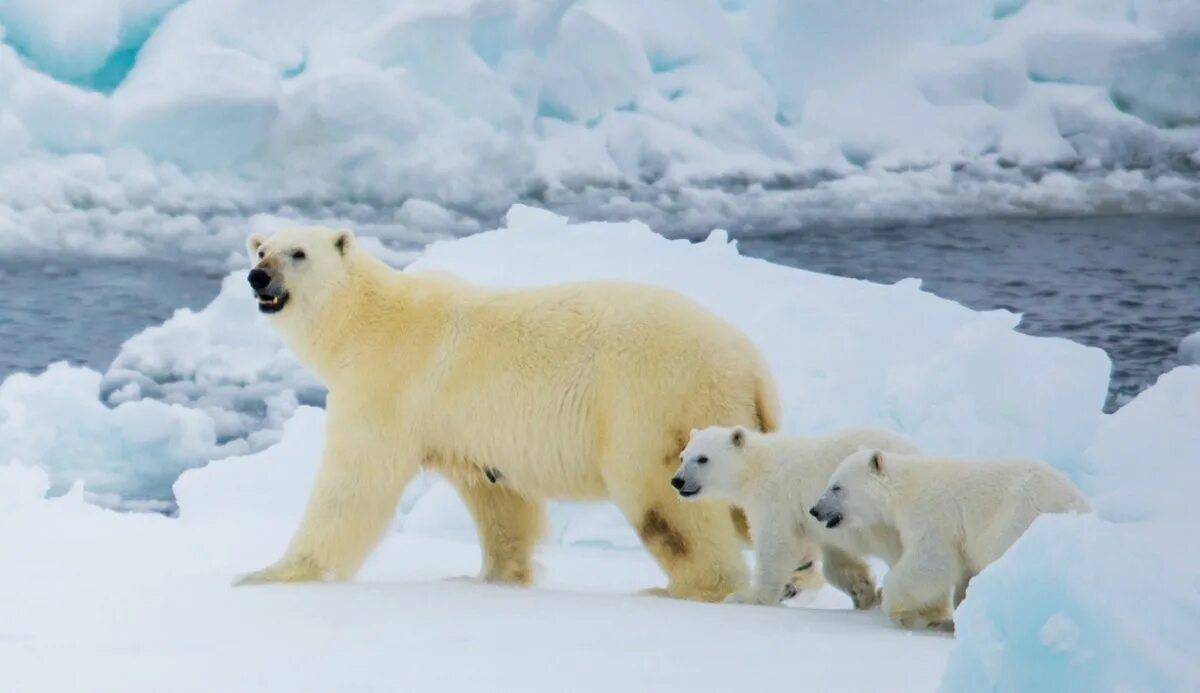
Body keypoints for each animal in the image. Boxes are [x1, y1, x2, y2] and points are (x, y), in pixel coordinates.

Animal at [235, 226, 782, 599]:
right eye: (262, 249)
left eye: (298, 253)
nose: (258, 277)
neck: (365, 322)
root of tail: (752, 368)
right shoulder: (466, 429)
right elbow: (496, 497)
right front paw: (490, 577)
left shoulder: (388, 385)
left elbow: (353, 484)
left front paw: (270, 573)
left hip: (653, 402)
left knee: (662, 501)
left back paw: (682, 587)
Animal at [672, 424, 912, 606]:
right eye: (683, 457)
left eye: (703, 458)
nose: (677, 481)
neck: (756, 466)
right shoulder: (819, 519)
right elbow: (836, 557)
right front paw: (863, 592)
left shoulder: (776, 497)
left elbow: (775, 543)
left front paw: (747, 597)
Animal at [816, 446, 1089, 628]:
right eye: (829, 482)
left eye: (836, 486)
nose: (815, 510)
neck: (904, 488)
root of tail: (1079, 504)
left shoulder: (933, 515)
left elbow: (931, 561)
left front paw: (895, 606)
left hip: (1019, 514)